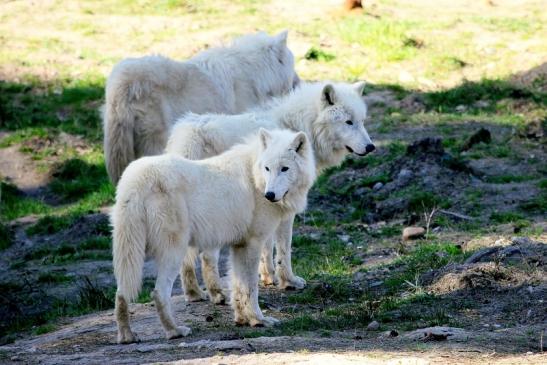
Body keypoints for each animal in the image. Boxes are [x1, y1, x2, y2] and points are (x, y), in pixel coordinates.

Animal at [113, 127, 314, 342]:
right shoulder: (253, 244)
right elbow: (251, 287)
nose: (269, 195)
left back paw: (127, 336)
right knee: (158, 293)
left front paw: (243, 319)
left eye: (284, 169)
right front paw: (259, 320)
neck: (255, 178)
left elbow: (238, 287)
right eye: (267, 168)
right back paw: (175, 331)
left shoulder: (239, 246)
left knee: (121, 292)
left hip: (130, 255)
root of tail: (137, 179)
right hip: (173, 251)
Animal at [165, 81, 374, 302]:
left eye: (362, 121)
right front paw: (289, 281)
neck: (300, 126)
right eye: (348, 122)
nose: (371, 147)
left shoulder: (268, 203)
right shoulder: (284, 206)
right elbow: (283, 248)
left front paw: (268, 277)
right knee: (206, 255)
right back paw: (217, 293)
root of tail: (189, 135)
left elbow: (267, 245)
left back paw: (194, 293)